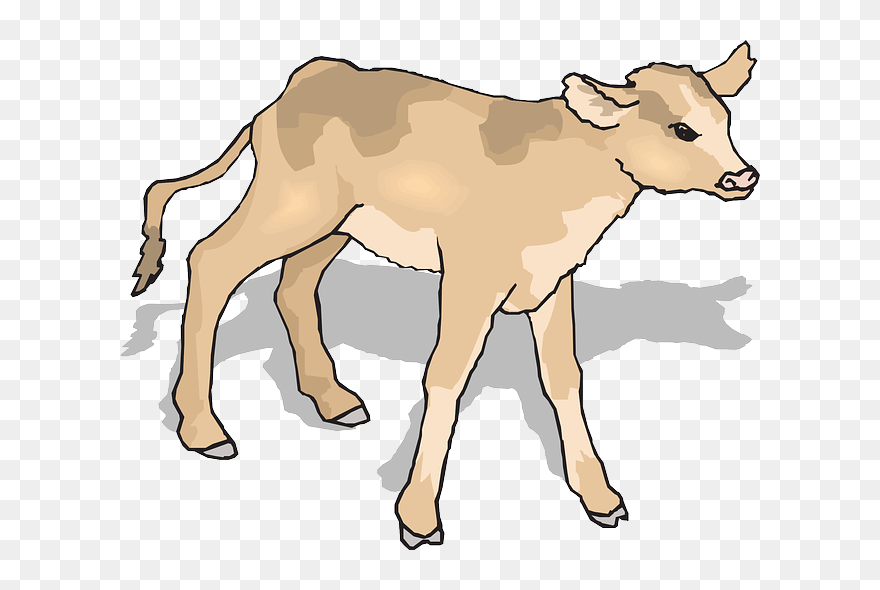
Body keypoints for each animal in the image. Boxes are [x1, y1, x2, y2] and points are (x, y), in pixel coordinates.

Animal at [132, 42, 758, 548]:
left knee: (293, 287)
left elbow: (564, 376)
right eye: (681, 129)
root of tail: (309, 78)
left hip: (331, 223)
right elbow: (447, 377)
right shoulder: (469, 277)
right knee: (212, 262)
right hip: (292, 204)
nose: (743, 176)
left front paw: (600, 497)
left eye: (725, 119)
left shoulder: (552, 280)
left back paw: (332, 399)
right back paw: (203, 429)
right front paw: (418, 515)